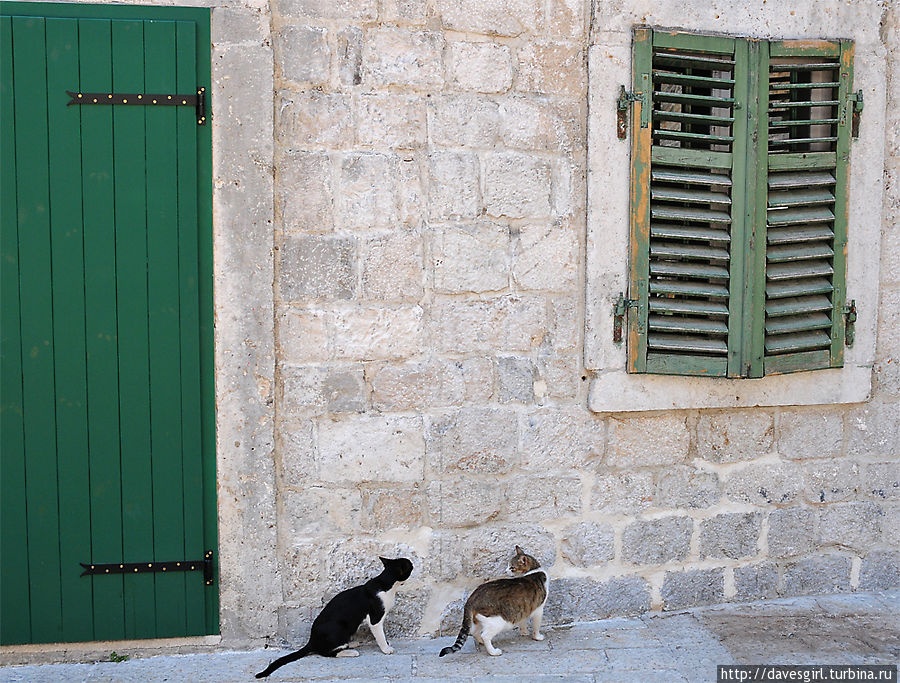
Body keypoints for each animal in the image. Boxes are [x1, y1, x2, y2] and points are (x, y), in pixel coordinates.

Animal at [255, 556, 414, 680]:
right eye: (409, 566)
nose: (413, 562)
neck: (386, 584)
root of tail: (312, 640)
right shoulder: (375, 618)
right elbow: (380, 635)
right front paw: (386, 648)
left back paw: (351, 644)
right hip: (339, 627)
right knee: (327, 653)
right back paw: (350, 651)